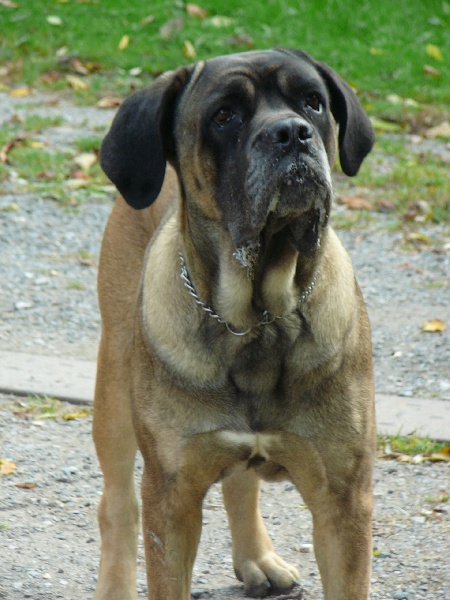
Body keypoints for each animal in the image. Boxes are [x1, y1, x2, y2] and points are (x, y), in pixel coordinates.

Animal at [92, 48, 376, 600]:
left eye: (313, 102)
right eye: (224, 116)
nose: (291, 133)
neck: (258, 318)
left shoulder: (344, 500)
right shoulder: (172, 498)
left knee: (241, 482)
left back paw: (257, 560)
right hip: (113, 390)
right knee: (117, 505)